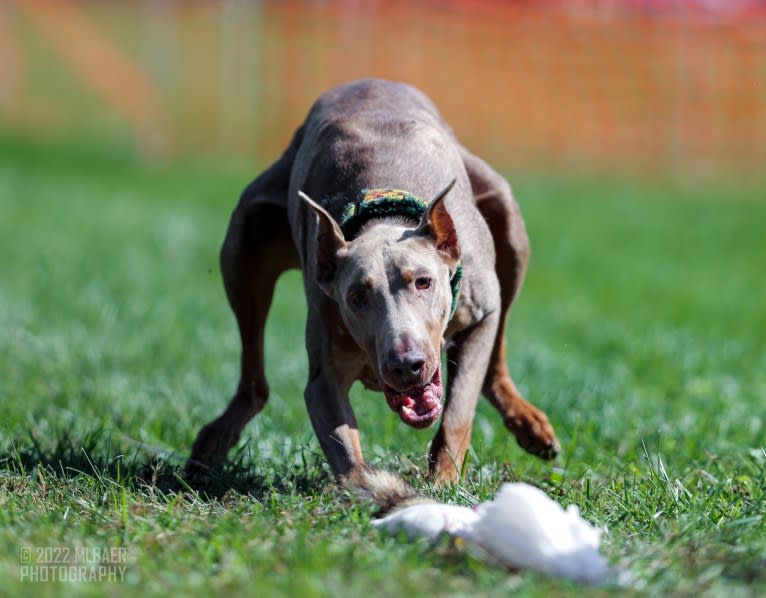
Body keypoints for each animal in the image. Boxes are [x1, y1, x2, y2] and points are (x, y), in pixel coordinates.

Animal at [186, 78, 560, 488]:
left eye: (424, 282)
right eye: (356, 296)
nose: (406, 365)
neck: (384, 210)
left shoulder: (481, 314)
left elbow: (458, 410)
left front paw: (443, 482)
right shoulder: (324, 369)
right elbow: (344, 447)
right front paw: (373, 491)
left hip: (507, 222)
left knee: (495, 360)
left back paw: (529, 424)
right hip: (245, 238)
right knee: (254, 375)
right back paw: (213, 442)